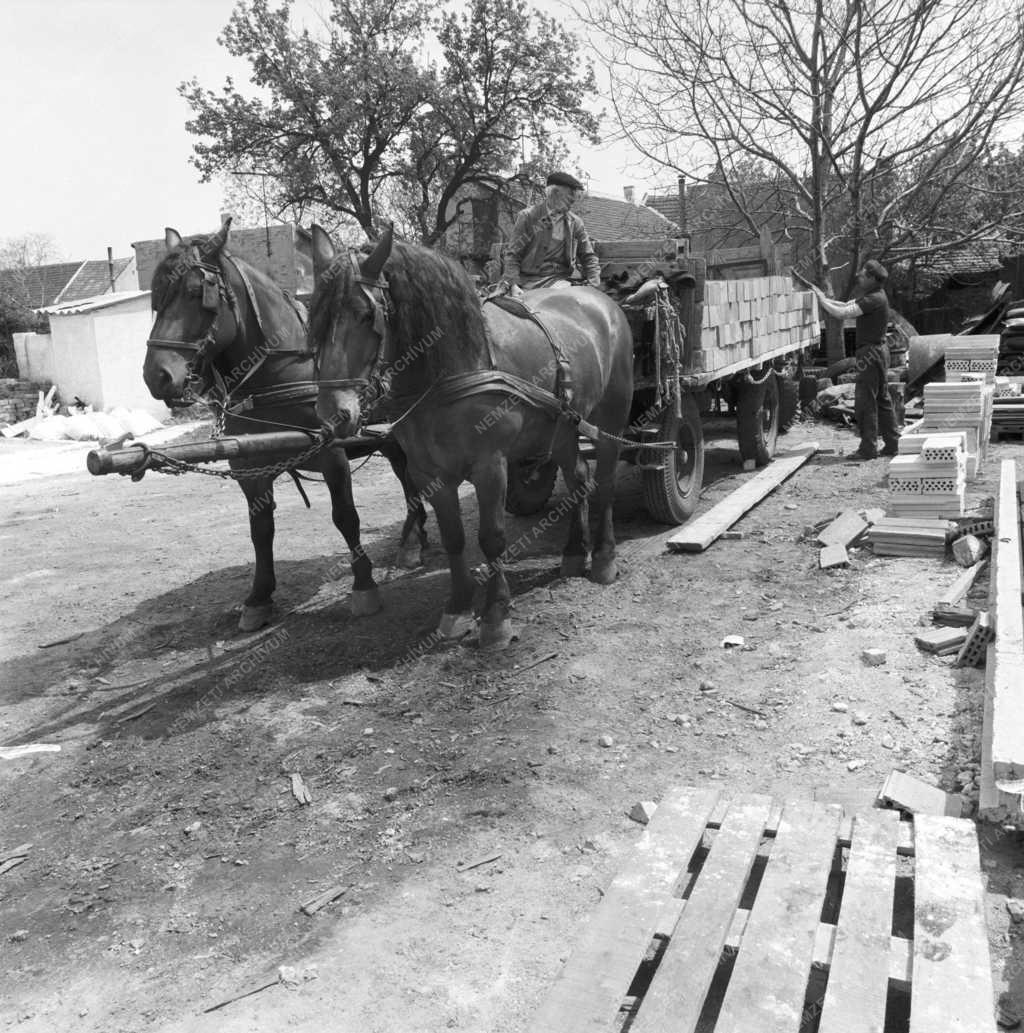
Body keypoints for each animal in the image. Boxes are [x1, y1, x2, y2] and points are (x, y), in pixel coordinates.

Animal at [142, 220, 425, 628]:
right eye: (157, 299)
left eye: (197, 294)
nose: (157, 376)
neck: (275, 378)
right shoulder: (249, 467)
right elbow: (260, 531)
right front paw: (259, 597)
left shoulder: (332, 455)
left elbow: (346, 517)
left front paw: (364, 584)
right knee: (405, 472)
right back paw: (415, 537)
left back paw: (412, 543)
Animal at [307, 225, 636, 648]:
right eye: (314, 317)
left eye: (366, 316)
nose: (334, 413)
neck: (452, 369)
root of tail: (600, 299)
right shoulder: (429, 474)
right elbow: (454, 538)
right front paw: (459, 609)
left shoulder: (490, 466)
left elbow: (491, 537)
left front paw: (496, 617)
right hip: (563, 427)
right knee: (579, 477)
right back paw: (575, 553)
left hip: (610, 418)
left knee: (605, 481)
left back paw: (605, 558)